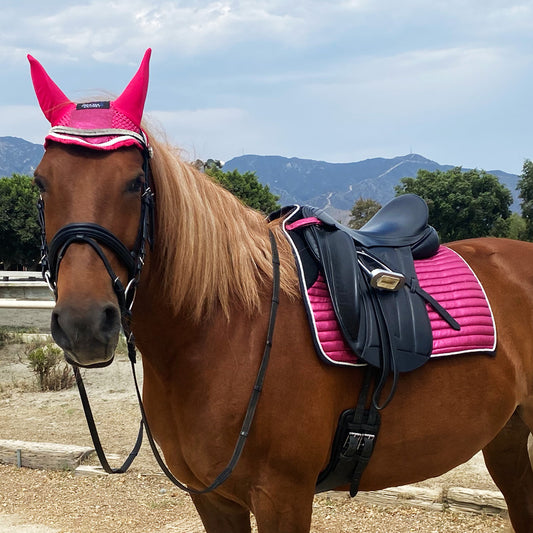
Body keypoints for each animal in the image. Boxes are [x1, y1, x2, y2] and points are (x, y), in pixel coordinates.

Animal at [28, 51, 532, 532]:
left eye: (135, 183)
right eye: (40, 181)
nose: (84, 324)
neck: (222, 330)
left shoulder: (282, 495)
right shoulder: (212, 498)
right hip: (506, 437)